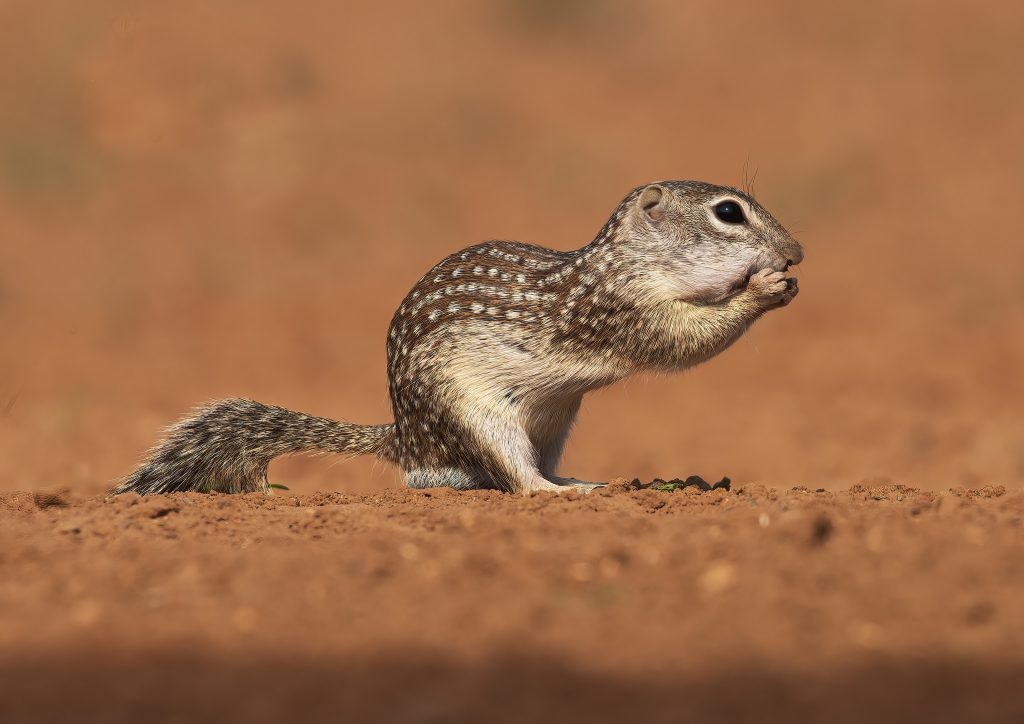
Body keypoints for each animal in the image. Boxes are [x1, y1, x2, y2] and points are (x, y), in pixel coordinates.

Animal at [113, 181, 803, 496]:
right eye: (728, 212)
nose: (796, 252)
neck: (626, 262)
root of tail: (405, 440)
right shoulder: (621, 312)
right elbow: (681, 341)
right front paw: (763, 289)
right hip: (477, 418)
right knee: (514, 480)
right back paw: (559, 493)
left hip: (555, 421)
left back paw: (580, 479)